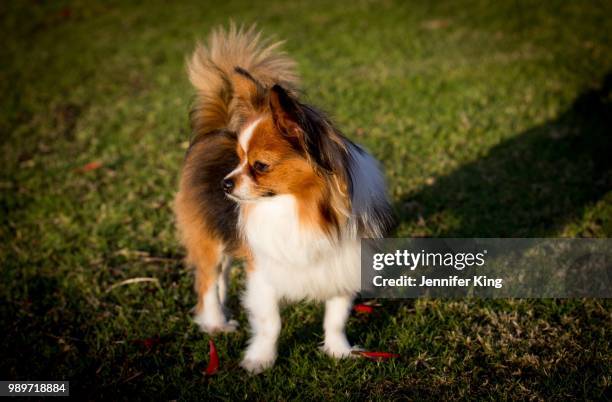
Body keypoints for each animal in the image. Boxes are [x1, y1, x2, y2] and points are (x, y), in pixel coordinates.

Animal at [173, 25, 392, 374]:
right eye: (238, 159)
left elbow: (336, 315)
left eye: (260, 166)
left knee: (220, 278)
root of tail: (216, 129)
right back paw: (215, 322)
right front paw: (260, 360)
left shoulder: (343, 261)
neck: (301, 206)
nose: (225, 183)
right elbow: (270, 323)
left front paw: (338, 351)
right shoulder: (262, 270)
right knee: (208, 280)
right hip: (208, 239)